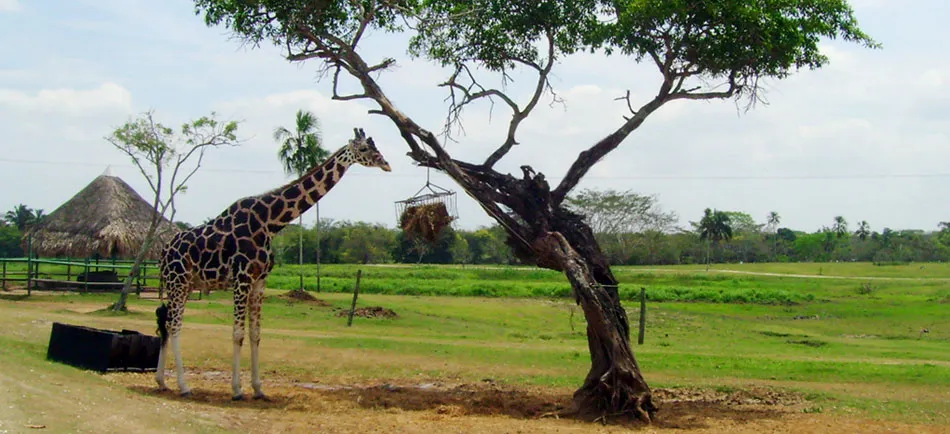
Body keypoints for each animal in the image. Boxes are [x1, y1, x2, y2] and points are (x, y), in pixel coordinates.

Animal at [155, 127, 390, 398]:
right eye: (363, 149)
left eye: (376, 146)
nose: (386, 164)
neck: (270, 223)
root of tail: (163, 252)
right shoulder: (242, 278)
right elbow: (237, 334)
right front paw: (237, 389)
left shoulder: (260, 280)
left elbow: (255, 334)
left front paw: (258, 388)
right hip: (177, 281)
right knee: (174, 324)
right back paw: (183, 386)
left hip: (186, 284)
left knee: (166, 321)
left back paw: (161, 381)